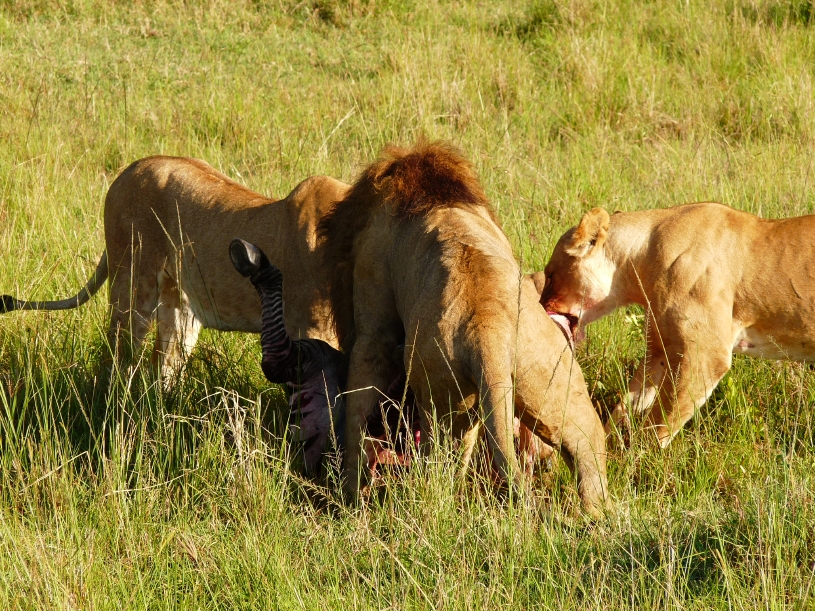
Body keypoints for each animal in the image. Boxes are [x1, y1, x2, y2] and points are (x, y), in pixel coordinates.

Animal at [0, 156, 348, 381]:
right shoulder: (312, 330)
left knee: (163, 365)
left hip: (180, 306)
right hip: (132, 286)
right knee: (118, 358)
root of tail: (131, 168)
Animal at [318, 141, 608, 516]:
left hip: (443, 400)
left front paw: (352, 494)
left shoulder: (373, 306)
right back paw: (599, 516)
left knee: (440, 475)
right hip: (553, 380)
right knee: (587, 450)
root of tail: (488, 328)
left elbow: (358, 405)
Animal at [537, 203, 815, 448]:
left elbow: (659, 423)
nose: (538, 306)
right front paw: (605, 450)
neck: (640, 261)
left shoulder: (706, 356)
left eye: (550, 276)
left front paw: (637, 466)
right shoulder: (659, 350)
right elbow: (627, 403)